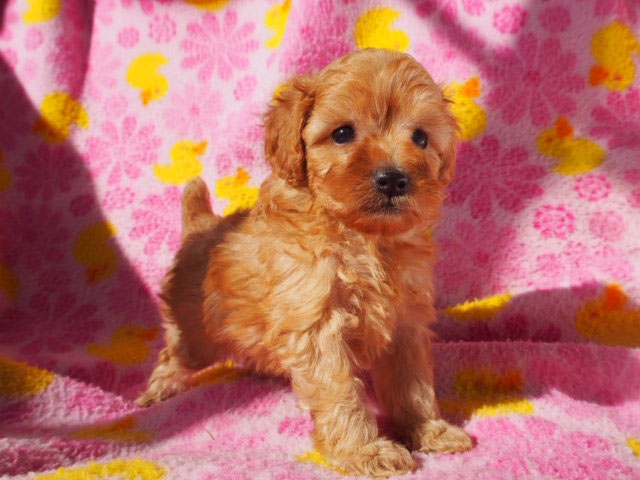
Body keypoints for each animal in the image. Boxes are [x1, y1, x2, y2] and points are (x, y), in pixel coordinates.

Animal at [137, 48, 472, 477]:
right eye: (342, 133)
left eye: (421, 138)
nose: (393, 179)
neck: (365, 238)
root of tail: (202, 225)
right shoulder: (317, 326)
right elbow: (340, 392)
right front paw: (364, 452)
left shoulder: (406, 323)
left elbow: (412, 384)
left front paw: (429, 430)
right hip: (197, 332)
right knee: (175, 353)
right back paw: (159, 389)